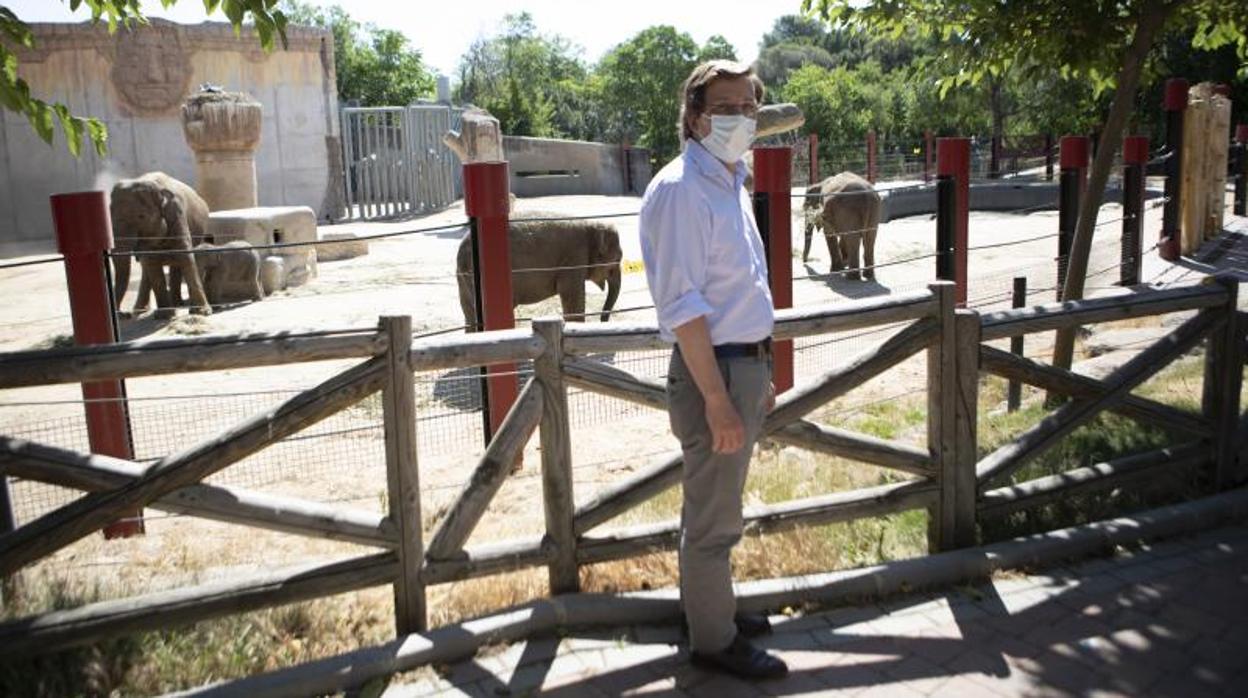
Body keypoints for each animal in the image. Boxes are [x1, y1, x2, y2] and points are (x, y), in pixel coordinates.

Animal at [111, 173, 213, 315]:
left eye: (141, 216)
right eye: (109, 216)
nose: (123, 314)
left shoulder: (177, 214)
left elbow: (185, 257)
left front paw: (203, 312)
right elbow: (152, 262)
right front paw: (165, 314)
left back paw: (176, 303)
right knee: (147, 267)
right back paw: (140, 310)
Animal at [456, 222, 621, 332]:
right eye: (617, 259)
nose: (603, 321)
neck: (591, 225)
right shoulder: (574, 258)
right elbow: (571, 293)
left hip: (464, 281)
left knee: (469, 314)